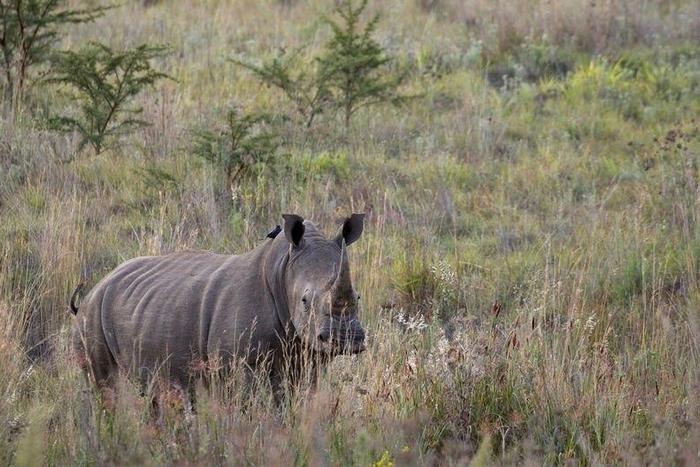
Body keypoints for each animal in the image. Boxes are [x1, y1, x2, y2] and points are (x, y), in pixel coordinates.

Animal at [70, 213, 366, 398]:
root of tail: (97, 286)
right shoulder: (236, 366)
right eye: (304, 301)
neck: (282, 269)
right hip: (91, 316)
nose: (346, 339)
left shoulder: (305, 359)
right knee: (107, 388)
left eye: (359, 298)